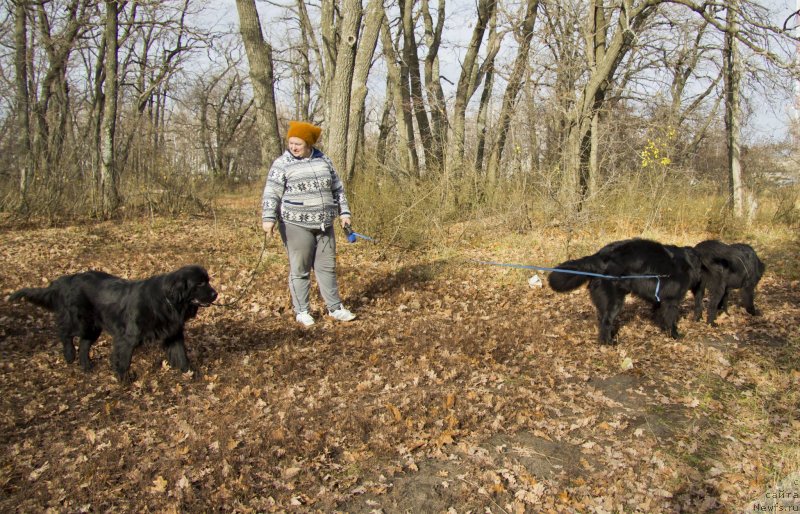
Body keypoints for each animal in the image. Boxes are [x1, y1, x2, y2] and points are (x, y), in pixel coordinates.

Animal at [7, 264, 219, 380]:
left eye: (208, 280)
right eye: (200, 283)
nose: (216, 294)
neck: (168, 300)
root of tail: (68, 278)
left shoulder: (173, 333)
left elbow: (181, 355)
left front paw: (190, 373)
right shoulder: (127, 337)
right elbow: (123, 359)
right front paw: (124, 379)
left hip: (92, 328)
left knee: (84, 344)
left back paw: (86, 366)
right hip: (82, 322)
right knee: (65, 332)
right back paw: (69, 355)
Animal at [552, 237, 700, 342]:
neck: (688, 262)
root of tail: (599, 256)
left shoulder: (660, 299)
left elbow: (660, 313)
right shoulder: (671, 300)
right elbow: (671, 318)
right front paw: (675, 335)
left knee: (603, 319)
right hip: (615, 300)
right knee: (606, 321)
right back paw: (608, 342)